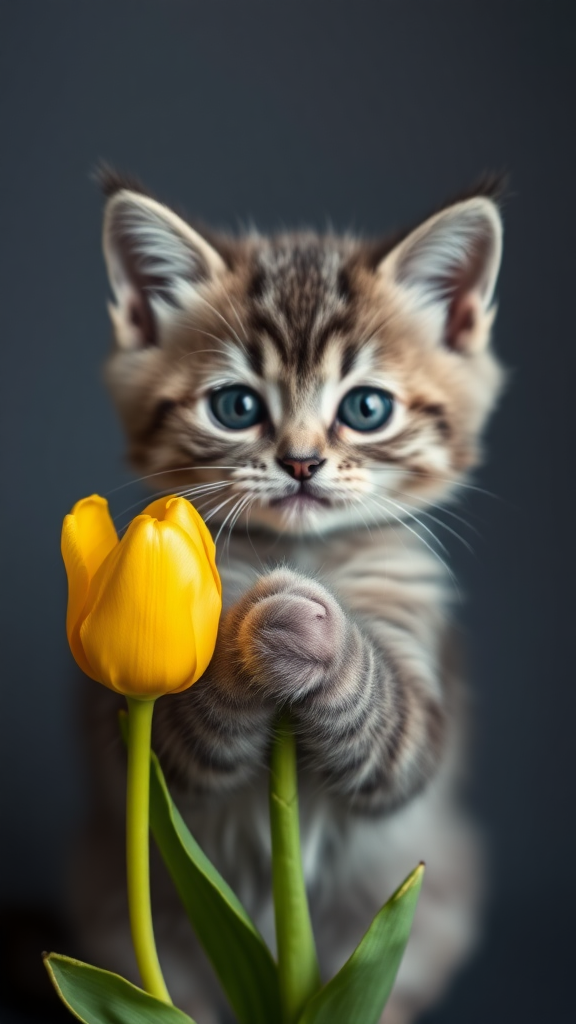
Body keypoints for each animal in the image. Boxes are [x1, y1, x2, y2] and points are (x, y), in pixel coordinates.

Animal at [70, 172, 502, 1024]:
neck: (301, 554)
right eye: (237, 406)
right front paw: (264, 631)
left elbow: (391, 730)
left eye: (365, 408)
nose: (301, 462)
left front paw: (308, 627)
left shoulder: (414, 692)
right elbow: (189, 730)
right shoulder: (158, 742)